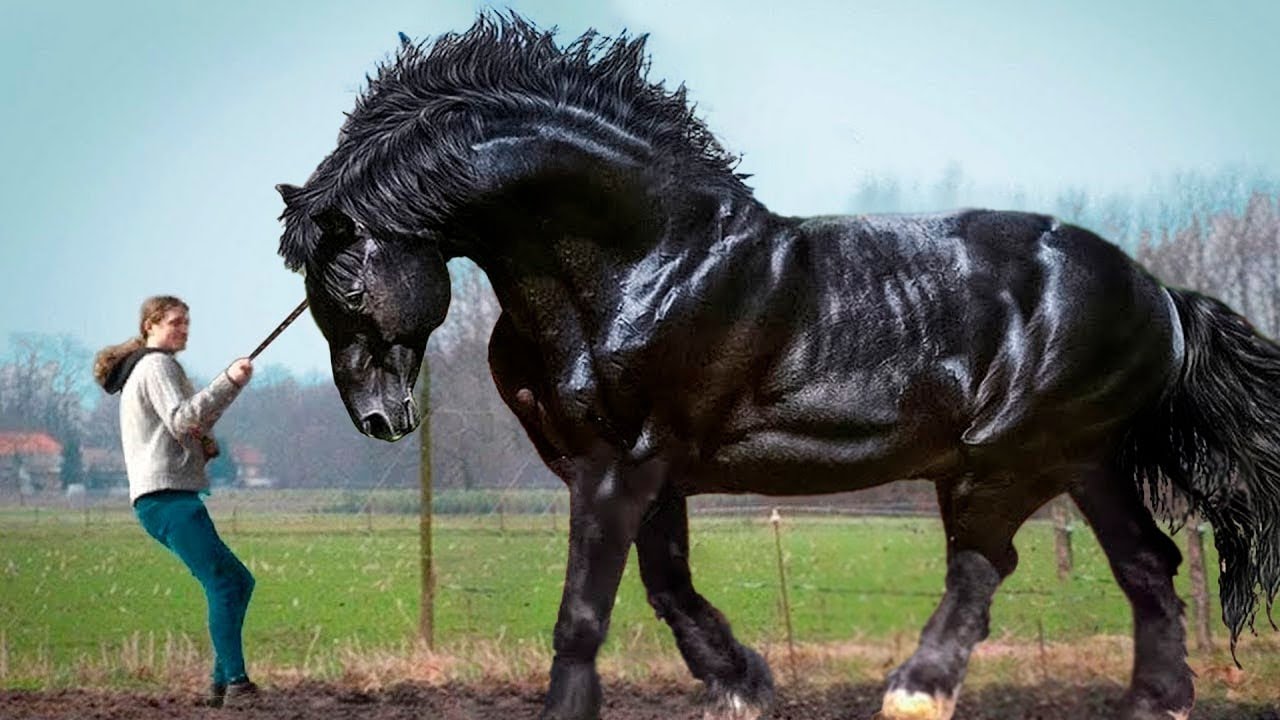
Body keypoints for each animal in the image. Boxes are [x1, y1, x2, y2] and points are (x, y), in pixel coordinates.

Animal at [276, 15, 1280, 720]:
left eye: (347, 282)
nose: (379, 419)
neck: (639, 261)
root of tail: (1160, 293)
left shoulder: (621, 463)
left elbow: (586, 609)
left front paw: (580, 706)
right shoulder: (637, 467)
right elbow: (666, 586)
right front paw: (743, 683)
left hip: (1008, 457)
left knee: (985, 565)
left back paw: (915, 689)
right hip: (1086, 458)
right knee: (1146, 564)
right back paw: (1154, 700)